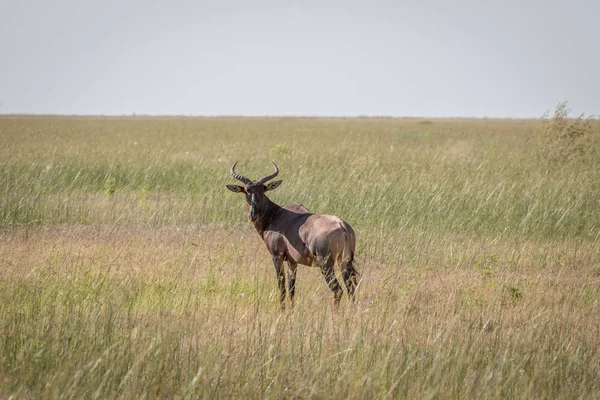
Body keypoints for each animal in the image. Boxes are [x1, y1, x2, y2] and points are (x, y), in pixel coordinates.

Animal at [225, 161, 356, 308]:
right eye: (247, 191)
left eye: (262, 190)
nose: (253, 214)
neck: (277, 214)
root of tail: (341, 225)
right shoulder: (293, 261)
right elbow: (292, 288)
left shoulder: (277, 256)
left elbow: (281, 285)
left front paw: (281, 310)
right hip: (344, 261)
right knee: (351, 288)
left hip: (325, 263)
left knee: (337, 290)